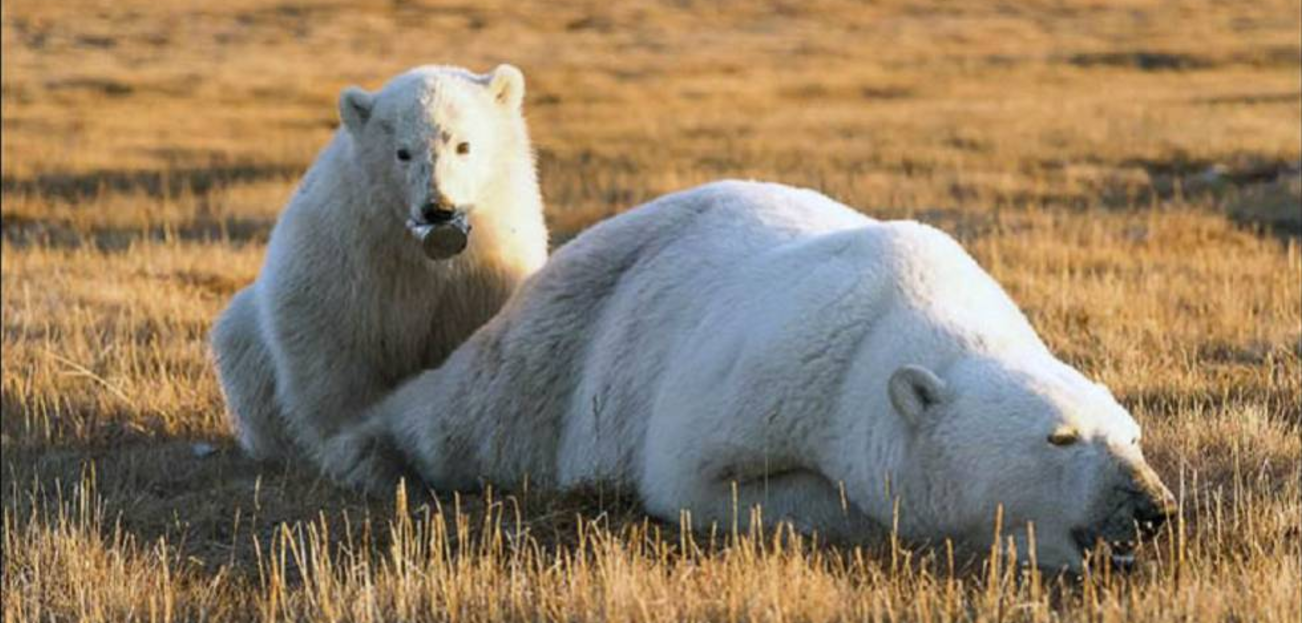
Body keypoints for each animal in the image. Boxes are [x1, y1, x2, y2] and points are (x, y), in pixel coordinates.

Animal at [210, 64, 548, 491]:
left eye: (463, 145)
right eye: (402, 152)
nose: (438, 208)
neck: (418, 252)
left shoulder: (482, 269)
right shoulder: (350, 254)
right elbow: (331, 353)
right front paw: (355, 451)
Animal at [358, 180, 1176, 571]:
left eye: (1133, 434)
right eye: (1060, 437)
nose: (1151, 507)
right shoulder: (780, 367)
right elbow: (694, 475)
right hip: (569, 333)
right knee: (472, 411)